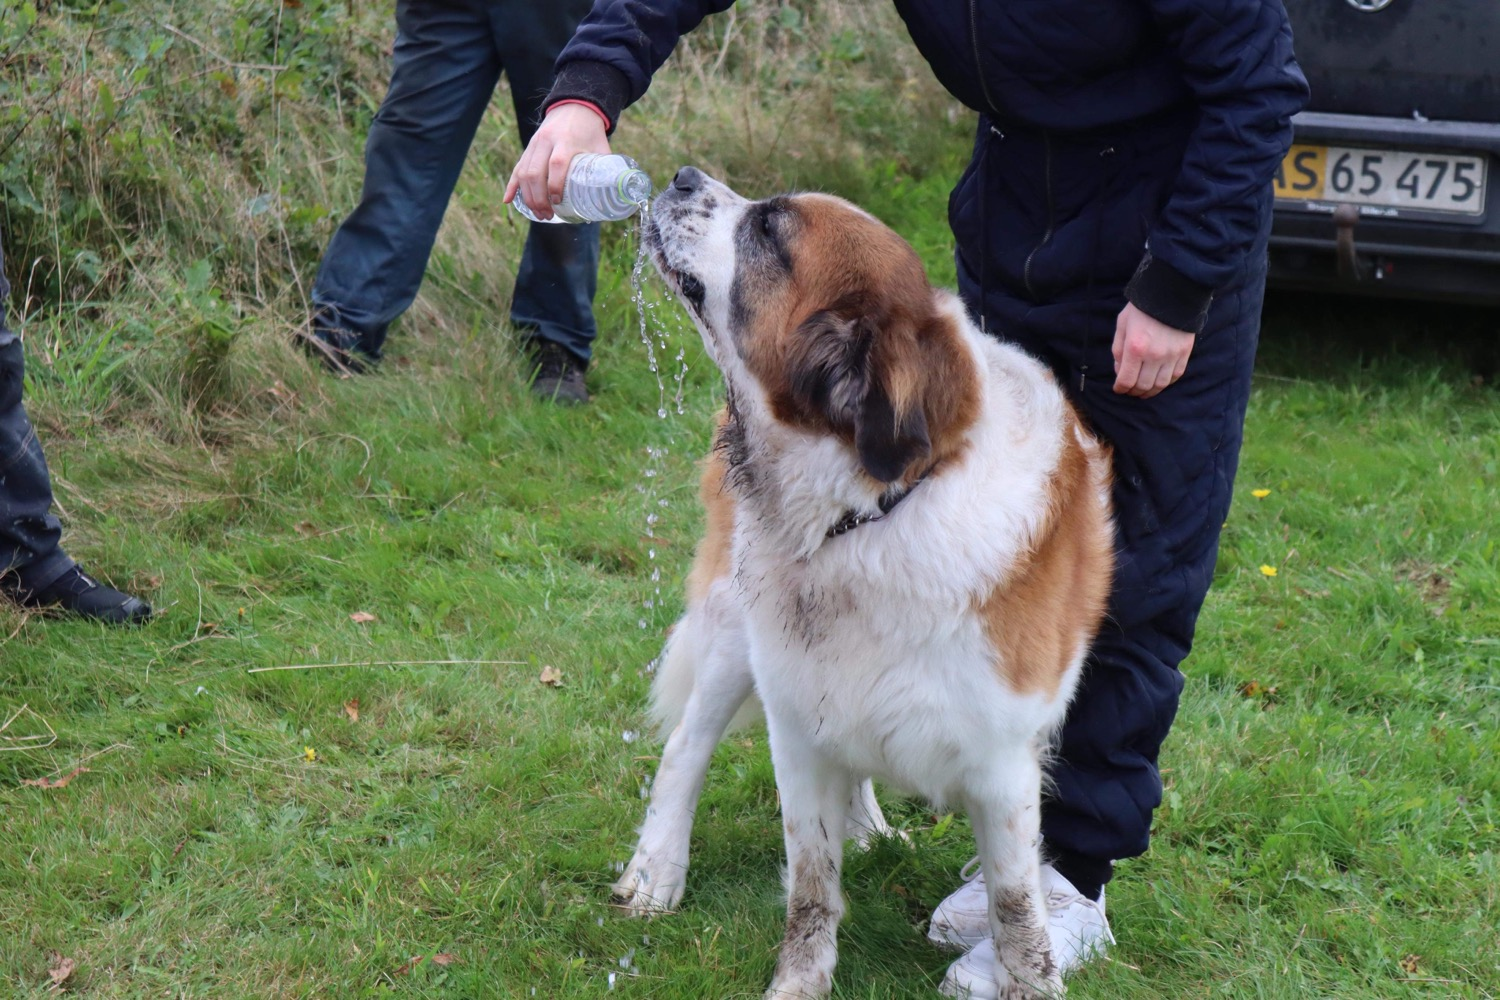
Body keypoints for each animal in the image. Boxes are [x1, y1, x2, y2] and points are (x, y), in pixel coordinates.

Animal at [615, 167, 1122, 995]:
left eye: (769, 231)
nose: (685, 177)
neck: (873, 511)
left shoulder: (1003, 769)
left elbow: (1018, 912)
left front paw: (1025, 977)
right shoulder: (793, 726)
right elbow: (811, 887)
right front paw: (798, 984)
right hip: (733, 631)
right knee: (687, 742)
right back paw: (658, 869)